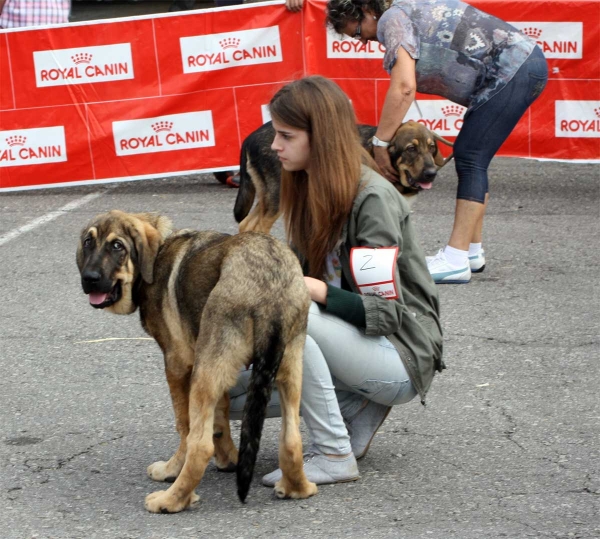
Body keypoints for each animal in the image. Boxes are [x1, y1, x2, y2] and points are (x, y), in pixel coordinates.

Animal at [77, 211, 316, 516]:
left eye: (117, 246)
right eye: (88, 242)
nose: (90, 279)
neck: (159, 250)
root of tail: (269, 287)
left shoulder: (177, 364)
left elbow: (185, 427)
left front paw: (172, 469)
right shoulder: (221, 372)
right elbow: (221, 418)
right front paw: (230, 459)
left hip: (206, 369)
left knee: (199, 446)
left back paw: (171, 500)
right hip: (287, 366)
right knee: (292, 439)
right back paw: (298, 487)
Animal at [232, 121, 452, 233]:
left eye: (432, 147)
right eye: (411, 149)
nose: (431, 174)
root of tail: (249, 137)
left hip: (268, 196)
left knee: (247, 224)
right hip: (278, 197)